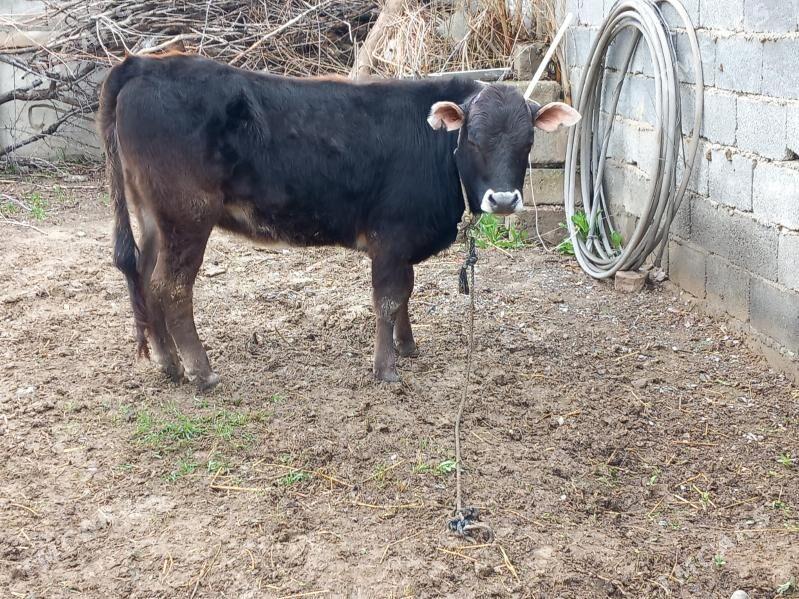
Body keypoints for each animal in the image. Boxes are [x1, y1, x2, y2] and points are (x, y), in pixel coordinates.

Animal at [98, 52, 581, 390]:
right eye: (473, 137)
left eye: (528, 140)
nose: (503, 199)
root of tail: (143, 63)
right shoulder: (390, 236)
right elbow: (388, 299)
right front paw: (385, 369)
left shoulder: (402, 242)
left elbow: (405, 293)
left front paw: (408, 346)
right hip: (188, 215)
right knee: (171, 287)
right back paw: (201, 372)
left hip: (154, 216)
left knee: (143, 277)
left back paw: (168, 364)